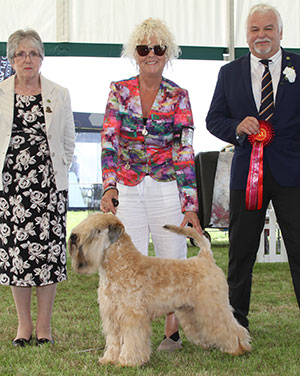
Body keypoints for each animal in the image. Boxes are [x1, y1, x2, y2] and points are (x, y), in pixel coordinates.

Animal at [68, 213, 251, 366]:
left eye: (97, 230)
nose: (73, 237)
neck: (121, 264)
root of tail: (205, 257)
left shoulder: (132, 315)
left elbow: (132, 339)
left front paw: (128, 361)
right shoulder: (111, 315)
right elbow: (114, 341)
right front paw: (109, 359)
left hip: (212, 306)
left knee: (231, 326)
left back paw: (238, 348)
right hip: (191, 309)